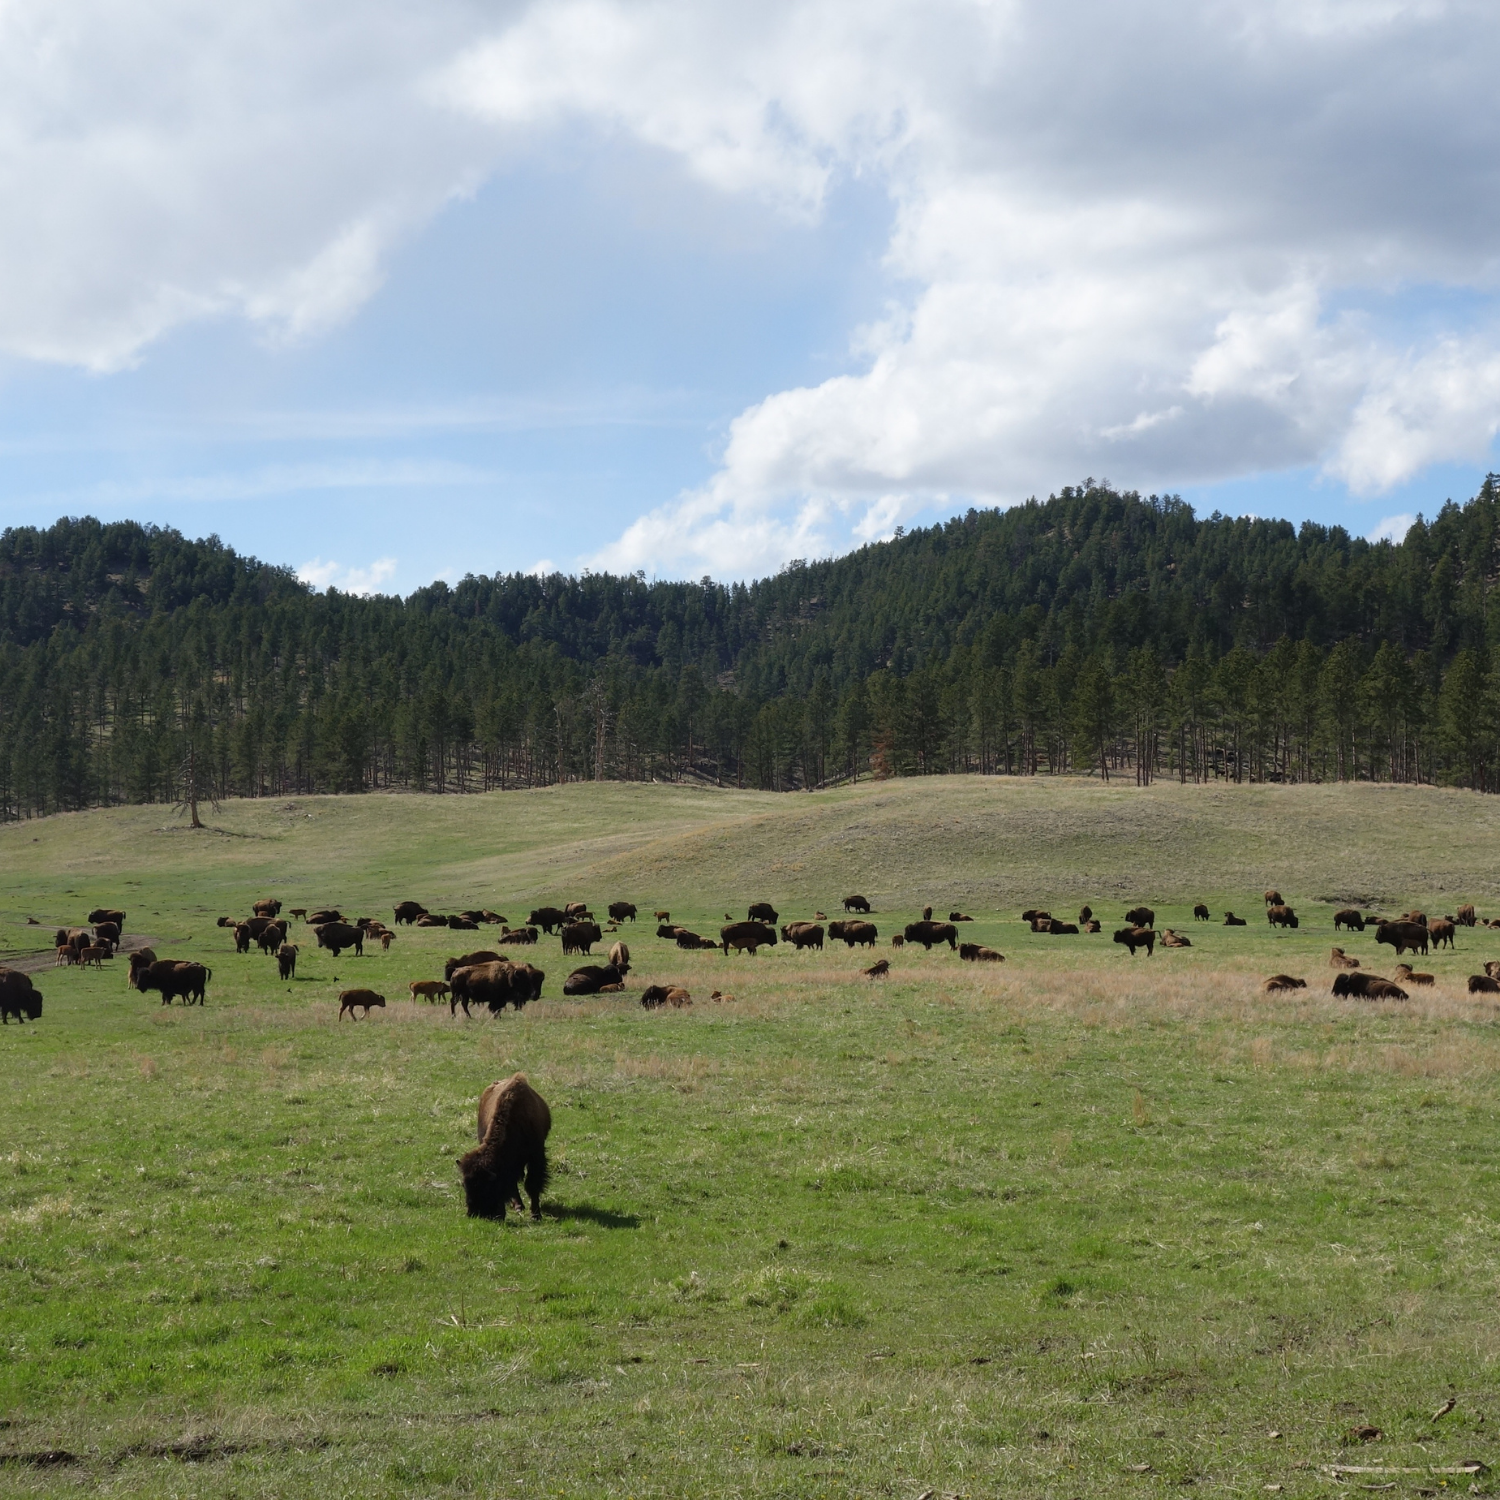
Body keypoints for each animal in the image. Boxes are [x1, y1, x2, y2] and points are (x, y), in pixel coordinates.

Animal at [456, 1068, 558, 1218]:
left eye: (485, 1186)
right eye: (464, 1185)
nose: (473, 1213)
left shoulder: (536, 1156)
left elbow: (532, 1184)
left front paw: (536, 1215)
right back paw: (518, 1206)